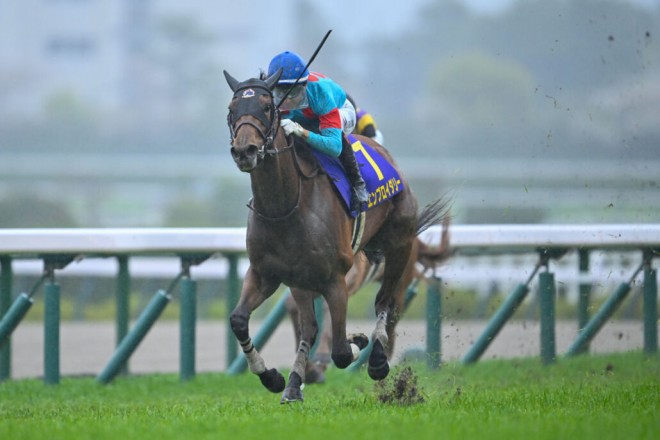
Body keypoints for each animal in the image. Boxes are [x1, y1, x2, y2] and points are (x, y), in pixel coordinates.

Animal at [223, 68, 451, 403]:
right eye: (232, 109)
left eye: (266, 107)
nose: (244, 150)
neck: (285, 206)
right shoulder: (268, 273)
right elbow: (240, 320)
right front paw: (274, 378)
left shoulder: (336, 278)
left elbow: (342, 350)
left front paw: (357, 343)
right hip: (303, 280)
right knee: (310, 325)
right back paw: (295, 383)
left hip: (400, 248)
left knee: (386, 304)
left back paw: (378, 360)